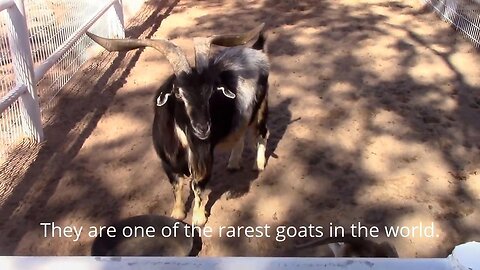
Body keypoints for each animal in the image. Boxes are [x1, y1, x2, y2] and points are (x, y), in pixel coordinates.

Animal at [86, 24, 270, 226]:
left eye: (211, 92)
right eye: (178, 93)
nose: (203, 128)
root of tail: (255, 51)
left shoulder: (203, 157)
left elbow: (197, 186)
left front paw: (198, 218)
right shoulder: (167, 161)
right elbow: (177, 186)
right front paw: (178, 213)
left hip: (260, 108)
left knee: (262, 133)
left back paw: (258, 165)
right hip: (241, 117)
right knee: (240, 135)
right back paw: (233, 164)